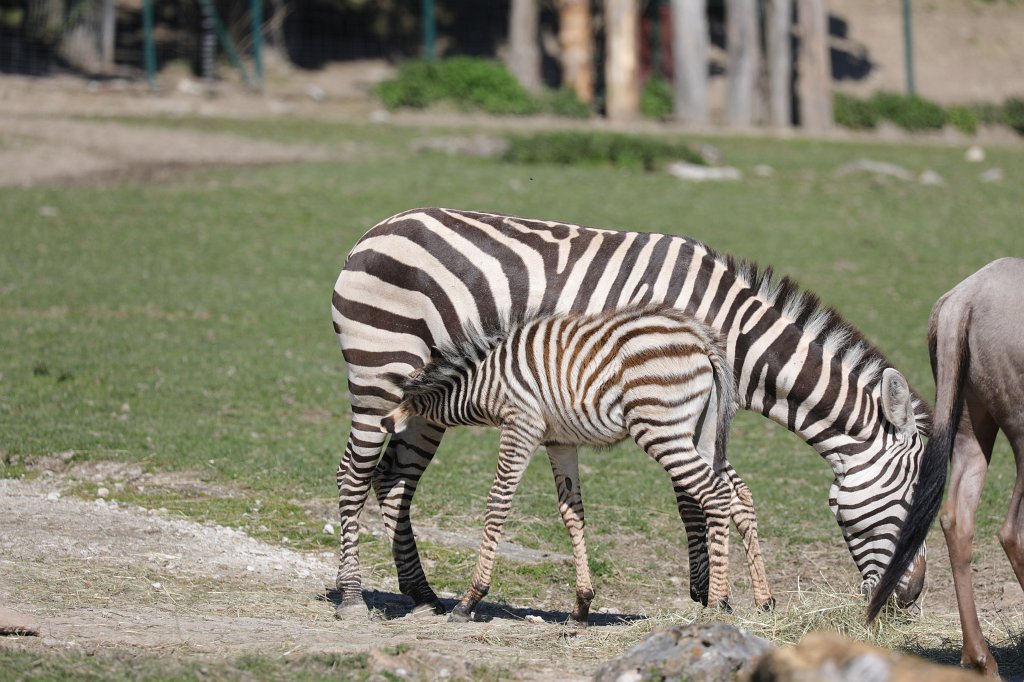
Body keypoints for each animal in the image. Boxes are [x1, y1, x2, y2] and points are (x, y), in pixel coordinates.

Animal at [380, 303, 772, 622]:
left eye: (404, 394)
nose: (385, 422)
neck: (485, 379)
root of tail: (701, 339)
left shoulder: (520, 424)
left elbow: (498, 503)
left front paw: (470, 600)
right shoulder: (559, 441)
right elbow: (572, 512)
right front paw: (582, 605)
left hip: (661, 428)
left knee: (715, 494)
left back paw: (718, 602)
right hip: (703, 433)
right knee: (732, 496)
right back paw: (758, 600)